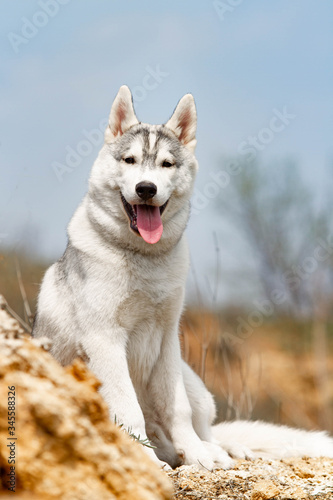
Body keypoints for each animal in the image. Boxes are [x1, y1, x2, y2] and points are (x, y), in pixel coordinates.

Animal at [33, 86, 332, 468]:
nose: (146, 188)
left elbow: (177, 410)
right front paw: (144, 459)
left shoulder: (166, 339)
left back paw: (219, 450)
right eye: (129, 160)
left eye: (166, 164)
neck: (143, 258)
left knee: (205, 427)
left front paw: (199, 455)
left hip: (194, 382)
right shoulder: (105, 340)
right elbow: (129, 412)